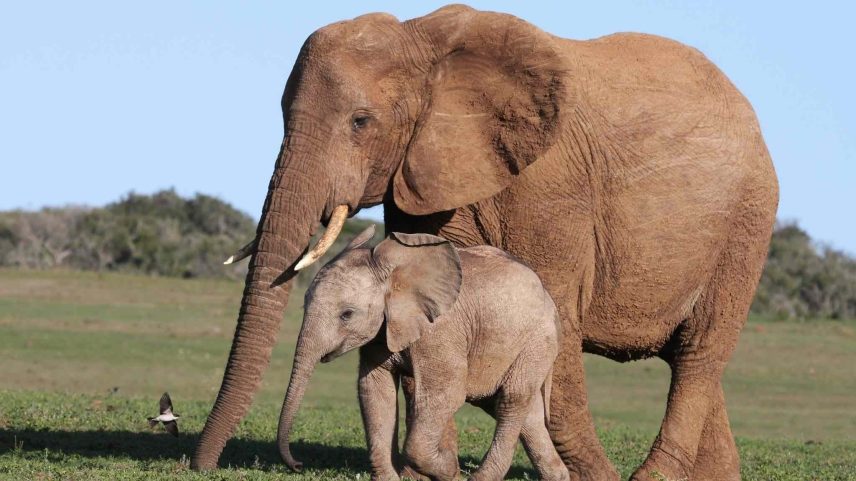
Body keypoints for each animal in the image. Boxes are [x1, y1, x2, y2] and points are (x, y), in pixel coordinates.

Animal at [277, 226, 568, 481]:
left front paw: (449, 471)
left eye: (346, 314)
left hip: (538, 341)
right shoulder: (382, 331)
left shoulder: (440, 330)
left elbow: (446, 393)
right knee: (525, 412)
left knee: (511, 400)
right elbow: (375, 391)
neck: (394, 273)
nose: (297, 465)